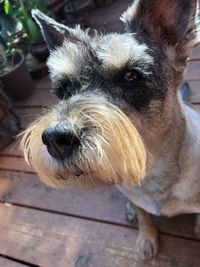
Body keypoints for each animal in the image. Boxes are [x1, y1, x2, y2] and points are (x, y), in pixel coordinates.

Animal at [20, 0, 200, 262]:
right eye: (64, 88)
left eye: (131, 75)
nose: (55, 139)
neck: (153, 173)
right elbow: (144, 215)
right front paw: (146, 237)